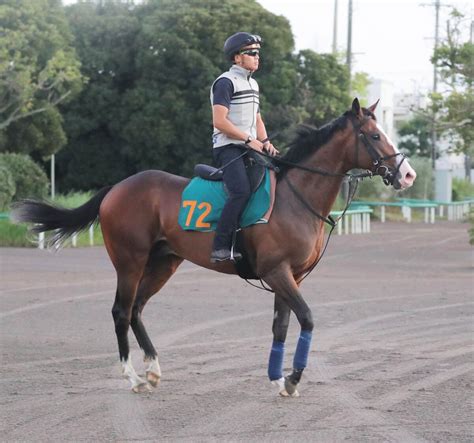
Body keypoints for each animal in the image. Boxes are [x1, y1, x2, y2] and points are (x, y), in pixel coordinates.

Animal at [12, 99, 414, 398]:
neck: (295, 196)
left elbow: (281, 325)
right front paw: (293, 378)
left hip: (164, 263)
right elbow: (307, 318)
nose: (407, 174)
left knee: (138, 309)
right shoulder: (277, 272)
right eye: (375, 135)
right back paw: (135, 377)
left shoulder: (291, 276)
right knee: (121, 311)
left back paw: (153, 370)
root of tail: (117, 188)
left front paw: (278, 379)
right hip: (129, 262)